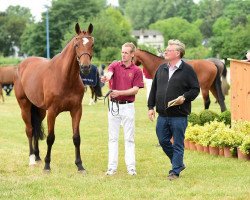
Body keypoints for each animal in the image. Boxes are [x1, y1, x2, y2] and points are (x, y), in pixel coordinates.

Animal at [14, 22, 94, 173]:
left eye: (92, 44)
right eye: (76, 45)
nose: (85, 67)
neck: (65, 77)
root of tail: (21, 65)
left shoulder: (76, 110)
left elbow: (76, 138)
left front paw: (80, 165)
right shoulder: (52, 112)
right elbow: (50, 138)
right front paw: (47, 166)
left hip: (40, 111)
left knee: (36, 129)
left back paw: (38, 157)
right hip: (25, 106)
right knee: (29, 130)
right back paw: (32, 159)